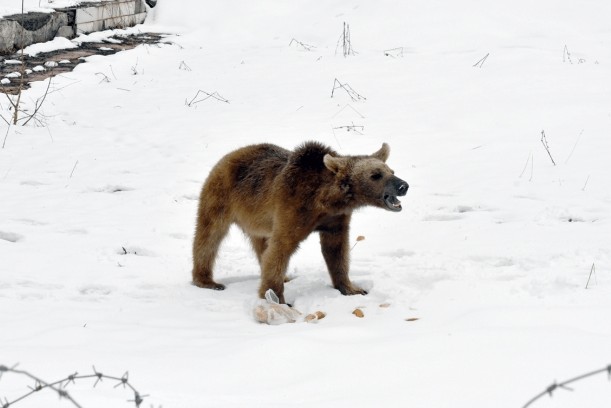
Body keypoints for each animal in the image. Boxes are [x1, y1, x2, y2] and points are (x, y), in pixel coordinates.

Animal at [194, 140, 408, 302]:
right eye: (376, 175)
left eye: (391, 170)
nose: (403, 185)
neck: (325, 200)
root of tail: (231, 153)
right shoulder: (293, 208)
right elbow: (280, 248)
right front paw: (276, 298)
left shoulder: (335, 220)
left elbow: (336, 251)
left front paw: (352, 287)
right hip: (221, 196)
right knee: (209, 236)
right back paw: (207, 281)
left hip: (256, 218)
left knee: (260, 243)